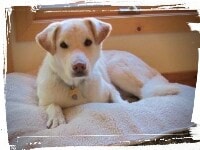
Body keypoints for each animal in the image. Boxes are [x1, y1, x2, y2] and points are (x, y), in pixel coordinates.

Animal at [35, 17, 179, 127]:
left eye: (88, 42)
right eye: (63, 45)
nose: (79, 66)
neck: (75, 86)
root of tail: (153, 70)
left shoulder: (108, 88)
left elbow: (116, 98)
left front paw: (124, 104)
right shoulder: (42, 103)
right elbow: (53, 105)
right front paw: (56, 118)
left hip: (117, 69)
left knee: (145, 94)